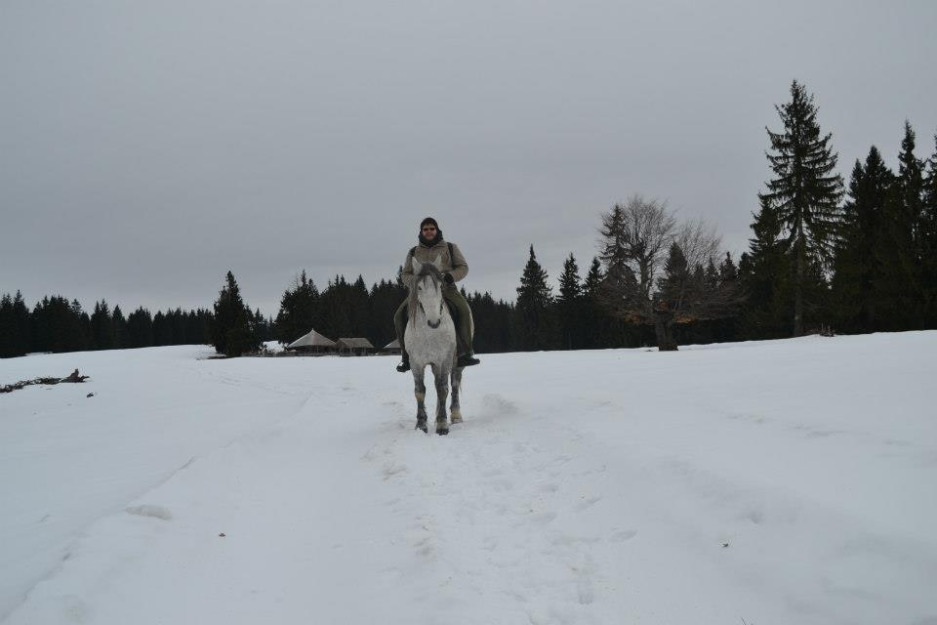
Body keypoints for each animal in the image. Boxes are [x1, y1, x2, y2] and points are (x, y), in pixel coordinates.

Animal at [406, 254, 464, 434]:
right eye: (419, 287)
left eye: (440, 285)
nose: (434, 322)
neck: (429, 333)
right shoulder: (416, 362)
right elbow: (420, 391)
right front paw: (421, 424)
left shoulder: (444, 359)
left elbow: (443, 389)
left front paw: (442, 424)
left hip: (455, 363)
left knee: (453, 384)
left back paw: (456, 416)